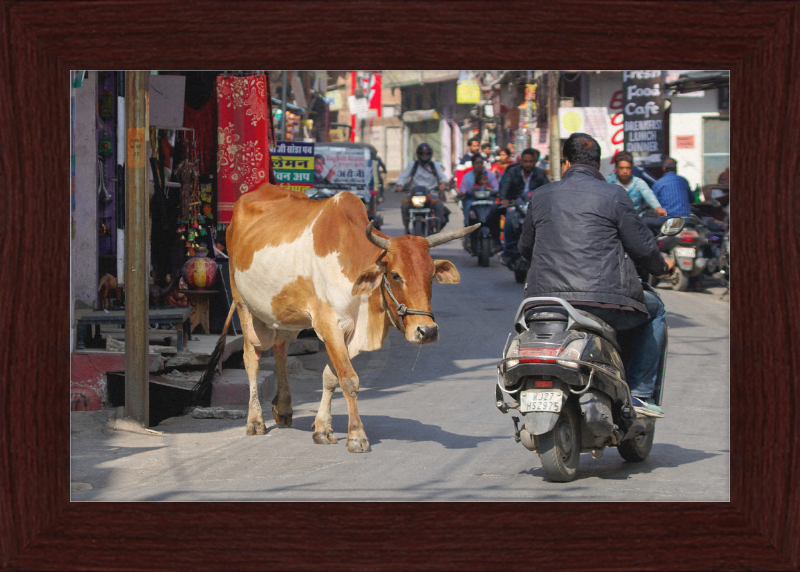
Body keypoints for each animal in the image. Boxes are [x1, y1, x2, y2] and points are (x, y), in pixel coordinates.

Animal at [200, 182, 478, 452]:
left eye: (431, 275)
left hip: (282, 315)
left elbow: (331, 377)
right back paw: (255, 420)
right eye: (396, 275)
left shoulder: (348, 333)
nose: (427, 331)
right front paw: (356, 436)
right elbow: (349, 380)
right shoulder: (329, 326)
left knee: (280, 350)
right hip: (243, 304)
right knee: (251, 358)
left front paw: (323, 428)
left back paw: (284, 408)